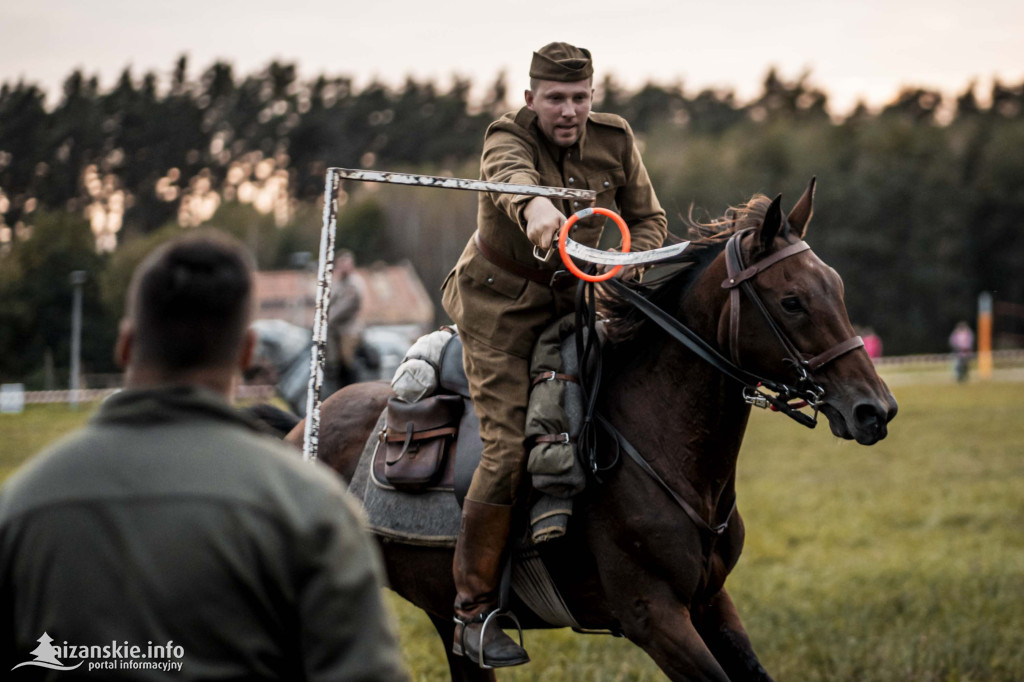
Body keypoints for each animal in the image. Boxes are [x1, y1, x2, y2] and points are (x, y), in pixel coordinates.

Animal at [288, 182, 897, 679]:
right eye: (792, 301)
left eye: (836, 288)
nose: (875, 410)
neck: (657, 446)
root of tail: (298, 432)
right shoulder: (654, 619)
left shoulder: (710, 602)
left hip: (443, 616)